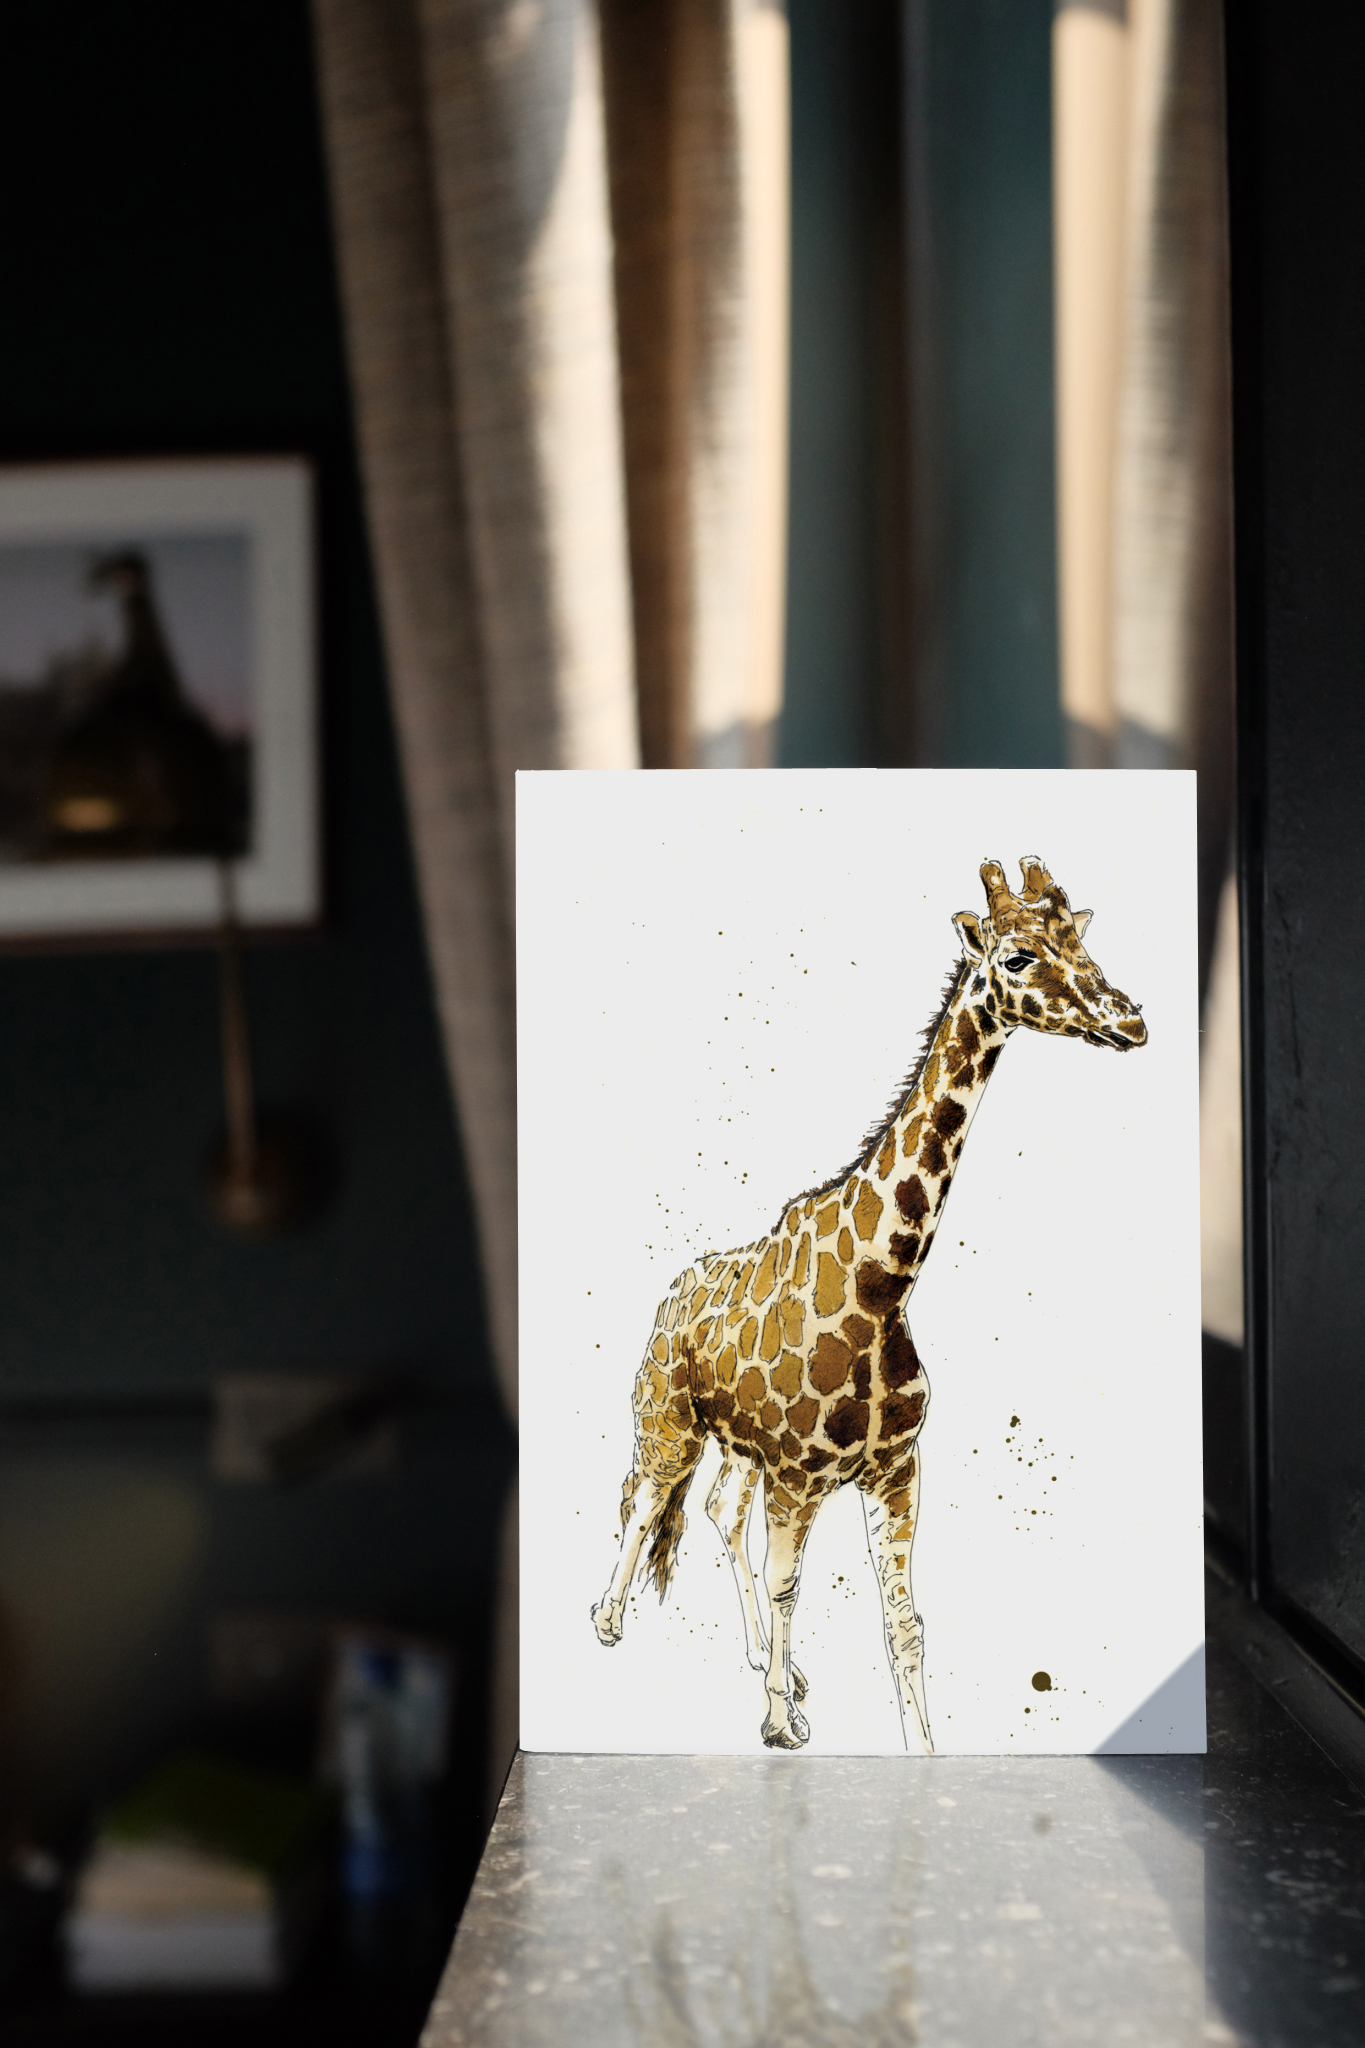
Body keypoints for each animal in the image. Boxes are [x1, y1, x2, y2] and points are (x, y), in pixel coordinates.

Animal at [592, 857, 1148, 1752]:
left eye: (1080, 941)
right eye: (1018, 957)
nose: (1129, 1020)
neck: (882, 1284)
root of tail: (671, 1295)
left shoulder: (892, 1468)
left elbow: (905, 1624)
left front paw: (912, 1746)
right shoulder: (799, 1477)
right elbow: (789, 1586)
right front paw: (780, 1727)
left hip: (739, 1452)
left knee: (715, 1510)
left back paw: (767, 1663)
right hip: (667, 1418)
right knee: (644, 1500)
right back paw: (609, 1622)